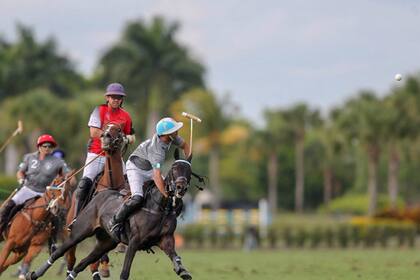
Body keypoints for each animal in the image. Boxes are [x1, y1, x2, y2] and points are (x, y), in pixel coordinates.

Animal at [27, 138, 194, 278]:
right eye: (174, 168)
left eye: (189, 172)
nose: (181, 188)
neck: (159, 207)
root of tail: (100, 195)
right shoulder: (134, 241)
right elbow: (124, 273)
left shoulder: (166, 240)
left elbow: (176, 258)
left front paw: (181, 269)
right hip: (79, 232)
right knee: (59, 253)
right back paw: (34, 274)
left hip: (106, 242)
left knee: (82, 263)